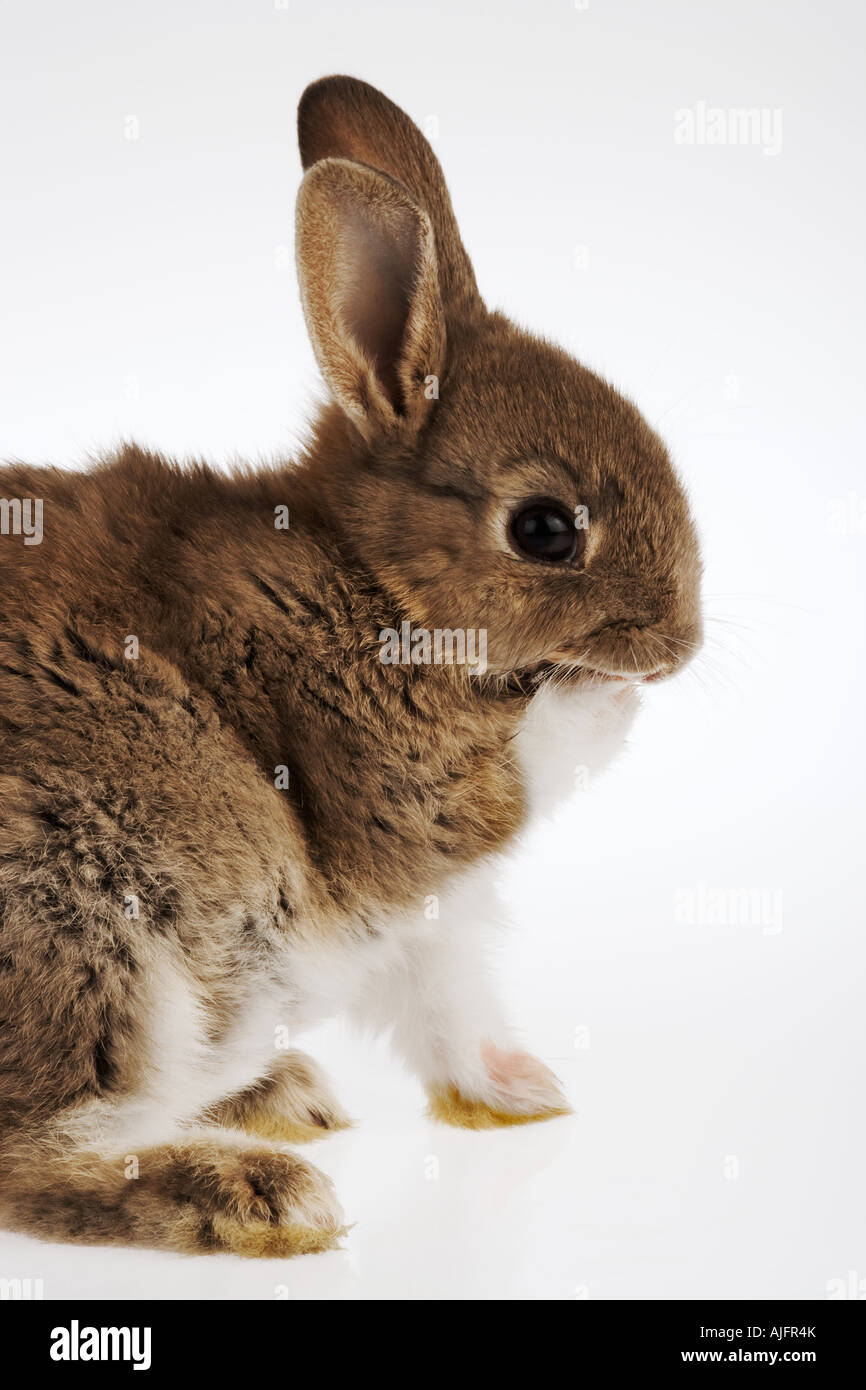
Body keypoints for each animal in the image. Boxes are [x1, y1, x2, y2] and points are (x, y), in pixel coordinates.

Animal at [0, 81, 706, 1267]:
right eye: (545, 529)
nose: (681, 643)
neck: (375, 580)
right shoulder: (405, 801)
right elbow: (519, 764)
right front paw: (595, 695)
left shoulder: (430, 928)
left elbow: (451, 1012)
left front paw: (522, 1093)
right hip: (91, 927)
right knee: (31, 1151)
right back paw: (254, 1190)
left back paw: (283, 1096)